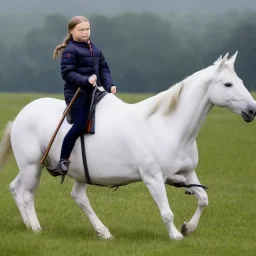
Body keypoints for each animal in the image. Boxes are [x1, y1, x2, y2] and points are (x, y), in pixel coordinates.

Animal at [0, 52, 256, 240]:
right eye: (228, 84)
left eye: (240, 82)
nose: (252, 109)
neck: (168, 126)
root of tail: (21, 116)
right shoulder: (153, 178)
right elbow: (166, 212)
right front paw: (176, 235)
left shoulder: (188, 172)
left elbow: (203, 198)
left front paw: (188, 228)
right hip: (32, 167)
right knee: (27, 196)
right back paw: (35, 228)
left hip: (48, 169)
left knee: (45, 193)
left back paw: (100, 231)